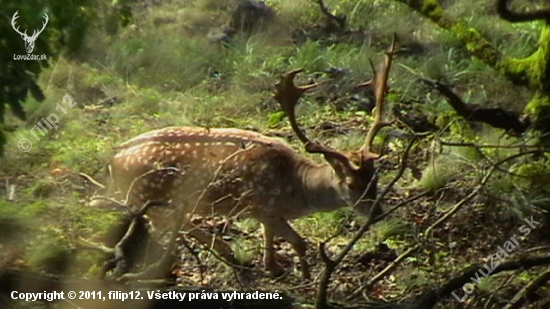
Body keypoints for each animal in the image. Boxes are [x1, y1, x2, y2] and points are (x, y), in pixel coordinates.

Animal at [108, 38, 396, 280]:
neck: (297, 190)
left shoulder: (267, 213)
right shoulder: (258, 205)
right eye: (351, 184)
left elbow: (270, 235)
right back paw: (220, 254)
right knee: (169, 223)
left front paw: (274, 267)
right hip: (147, 194)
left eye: (376, 178)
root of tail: (113, 160)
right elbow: (299, 242)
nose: (378, 214)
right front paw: (304, 276)